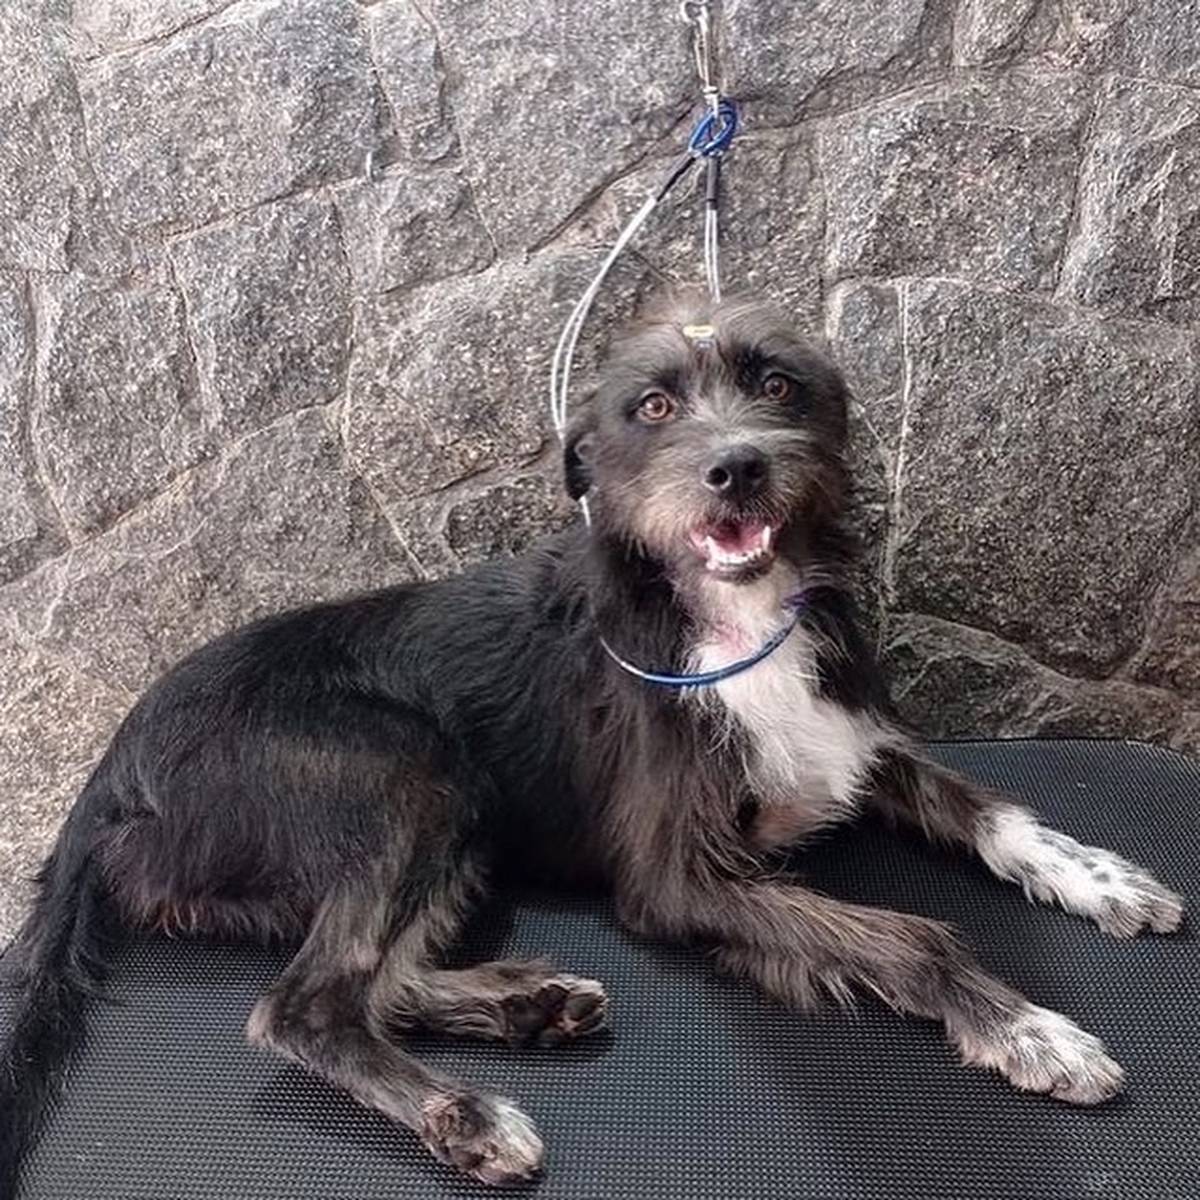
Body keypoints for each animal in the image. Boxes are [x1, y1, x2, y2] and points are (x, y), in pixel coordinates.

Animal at [0, 292, 1185, 1190]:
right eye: (653, 406)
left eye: (777, 386)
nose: (736, 468)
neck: (731, 616)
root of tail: (108, 774)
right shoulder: (677, 875)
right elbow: (911, 936)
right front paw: (1031, 1029)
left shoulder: (850, 737)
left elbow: (990, 806)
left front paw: (1101, 877)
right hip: (409, 772)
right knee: (304, 1003)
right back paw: (468, 1115)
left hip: (456, 821)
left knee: (377, 983)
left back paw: (528, 1003)